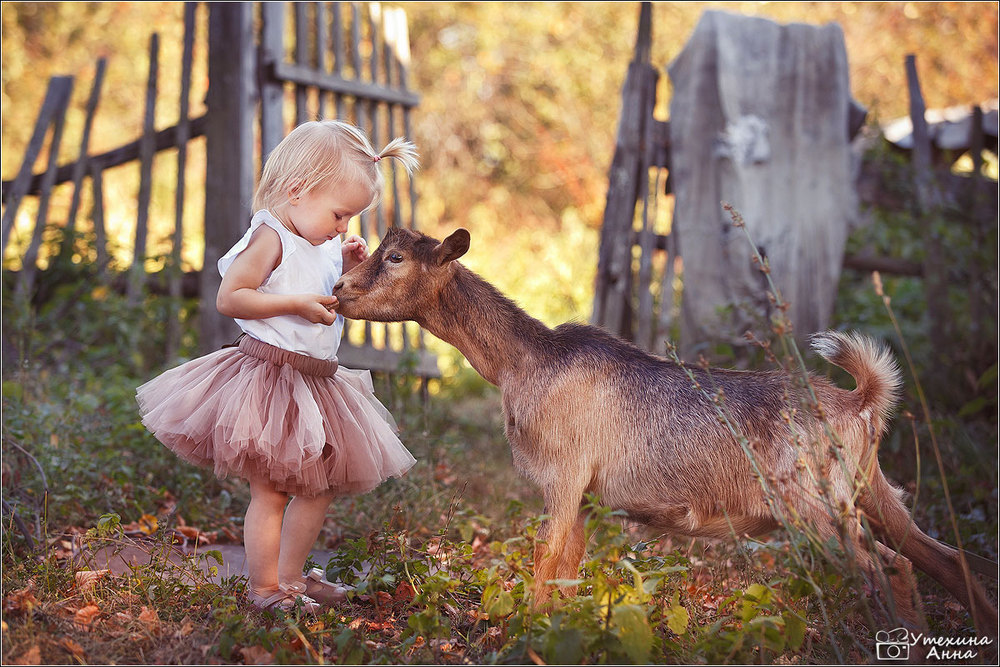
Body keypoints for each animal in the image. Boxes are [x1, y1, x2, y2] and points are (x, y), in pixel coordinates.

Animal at [334, 227, 992, 636]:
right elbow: (566, 575)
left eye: (395, 258)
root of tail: (860, 401)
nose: (339, 290)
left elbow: (544, 565)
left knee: (889, 568)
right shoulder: (587, 498)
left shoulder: (563, 477)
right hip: (872, 491)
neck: (526, 360)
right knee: (943, 558)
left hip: (812, 505)